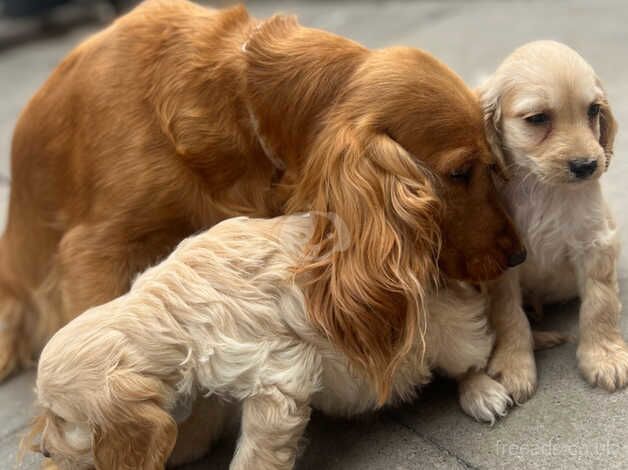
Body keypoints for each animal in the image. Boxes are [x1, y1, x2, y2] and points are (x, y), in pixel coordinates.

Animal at [25, 215, 496, 468]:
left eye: (63, 418)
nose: (44, 450)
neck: (167, 312)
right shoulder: (209, 380)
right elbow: (197, 419)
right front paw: (177, 450)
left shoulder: (279, 374)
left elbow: (254, 453)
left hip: (448, 332)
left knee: (473, 355)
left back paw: (483, 392)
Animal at [456, 41, 624, 422]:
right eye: (537, 119)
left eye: (593, 110)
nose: (587, 166)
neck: (542, 188)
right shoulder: (502, 262)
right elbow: (508, 314)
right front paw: (513, 367)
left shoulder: (595, 244)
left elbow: (600, 303)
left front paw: (604, 355)